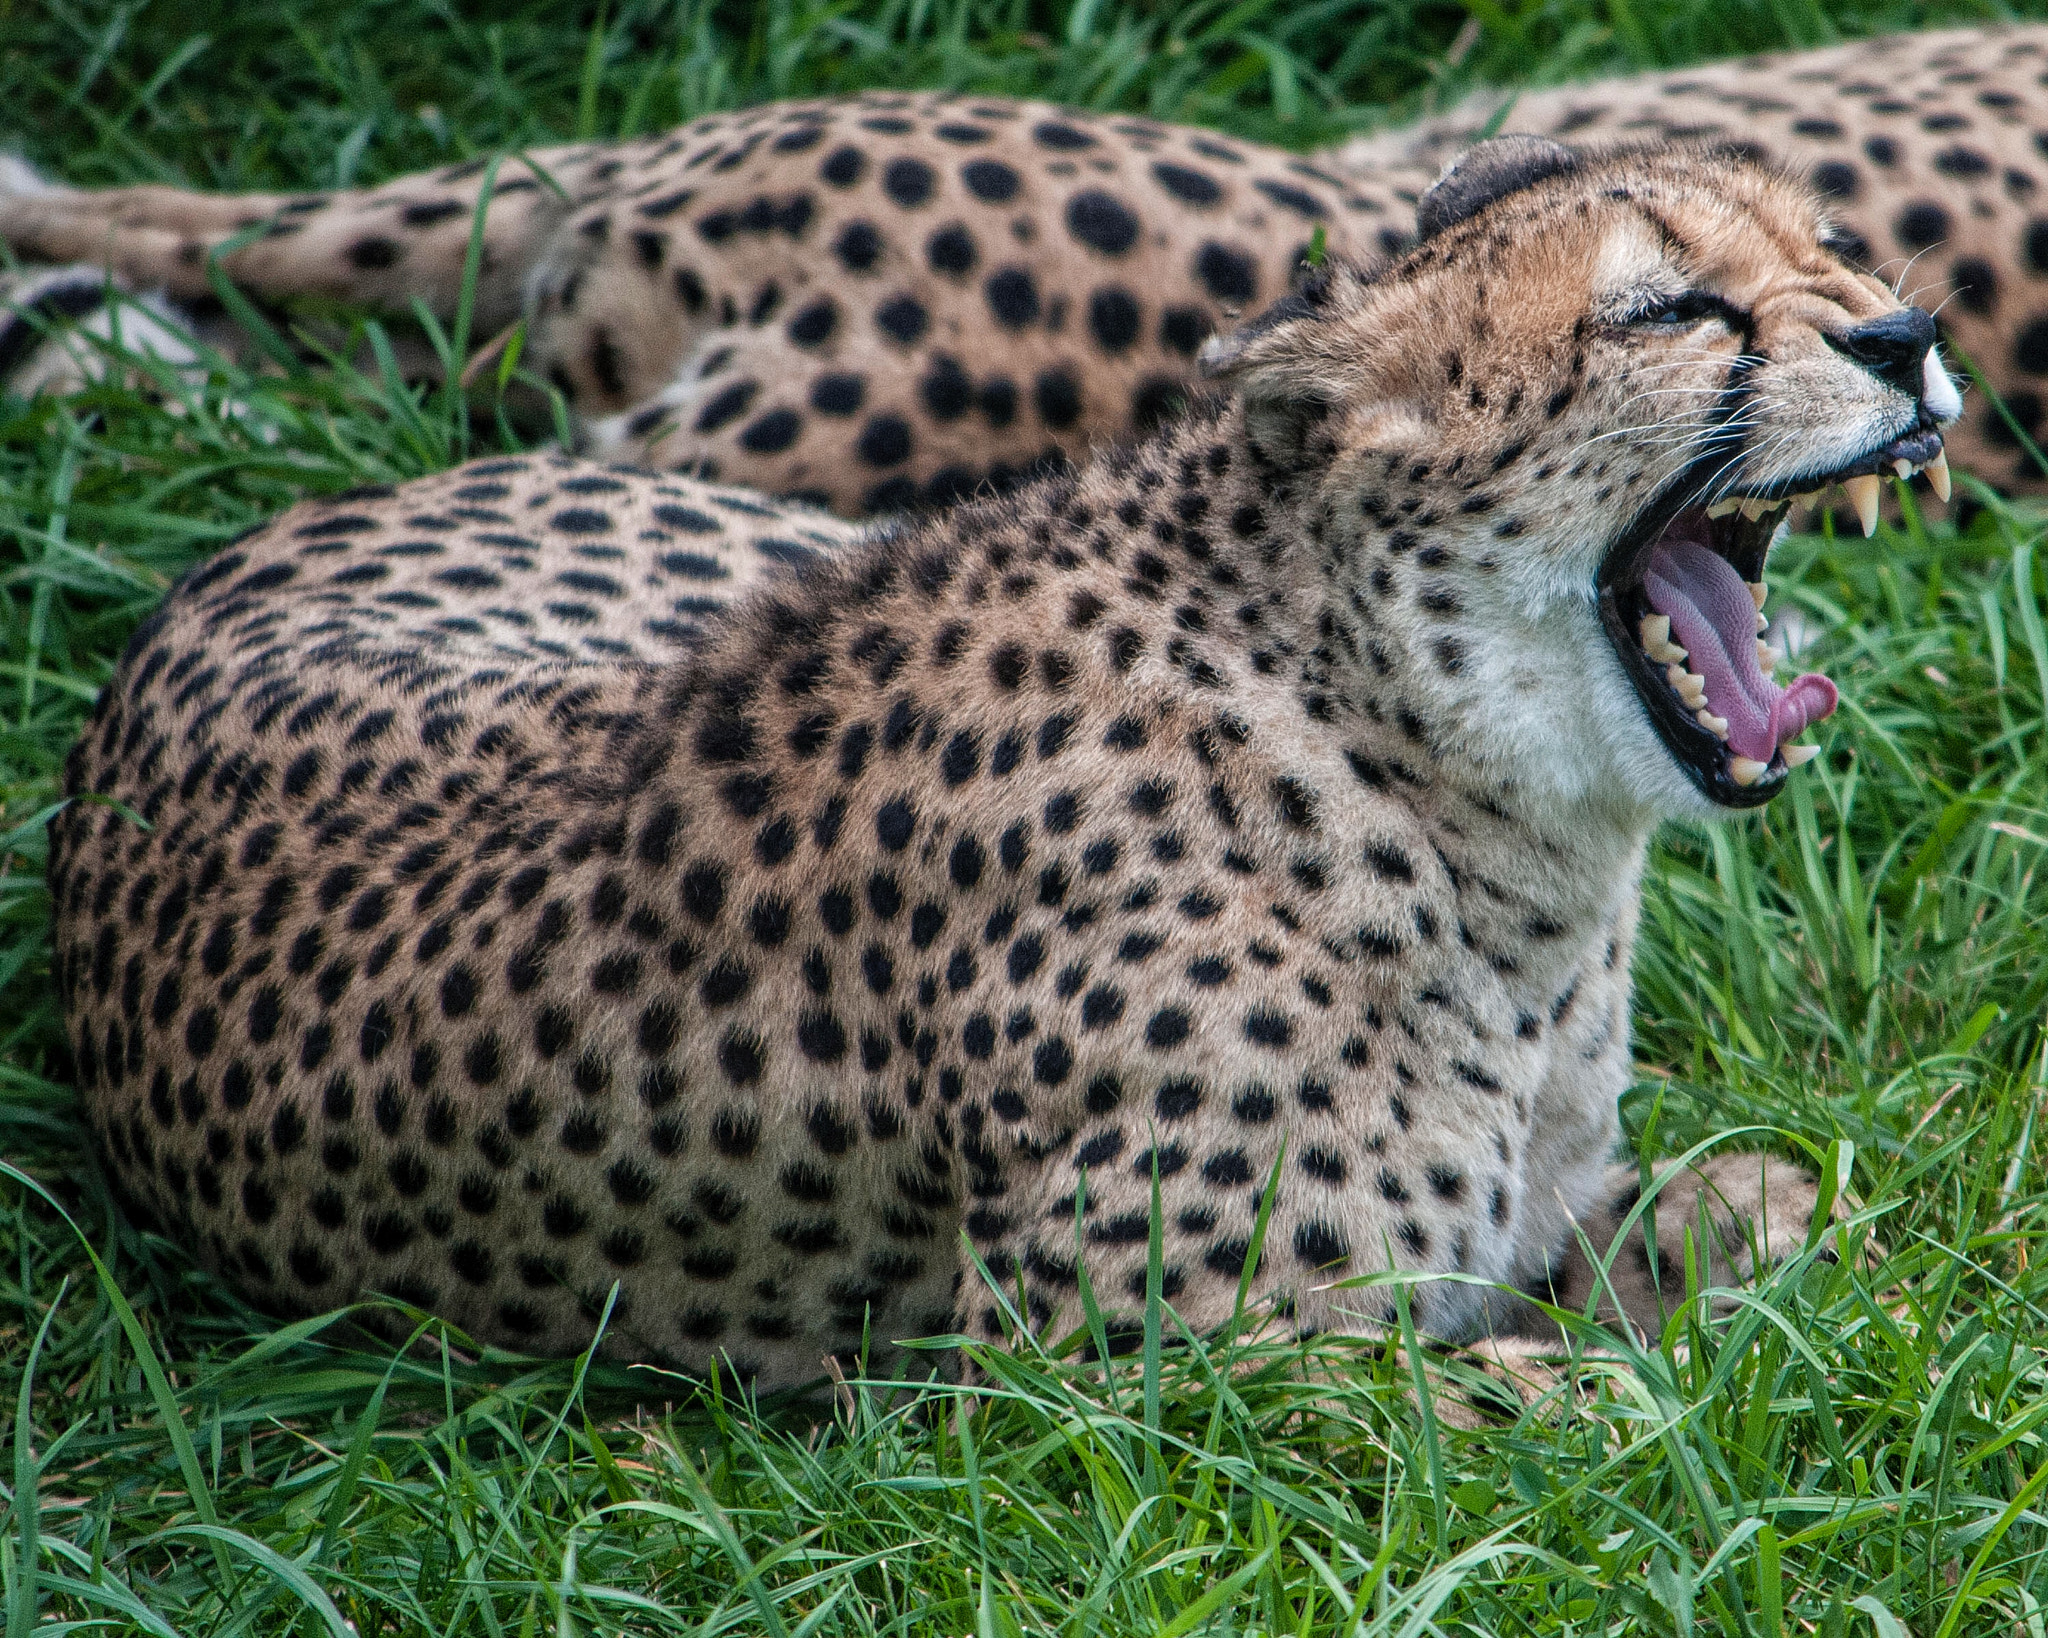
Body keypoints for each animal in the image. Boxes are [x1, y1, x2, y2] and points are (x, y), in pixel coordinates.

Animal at [47, 136, 1940, 1388]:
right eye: (1666, 310)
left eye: (1837, 248)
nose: (1906, 339)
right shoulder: (1139, 1372)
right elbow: (1613, 1421)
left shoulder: (1524, 1216)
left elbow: (1754, 1222)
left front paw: (1819, 1243)